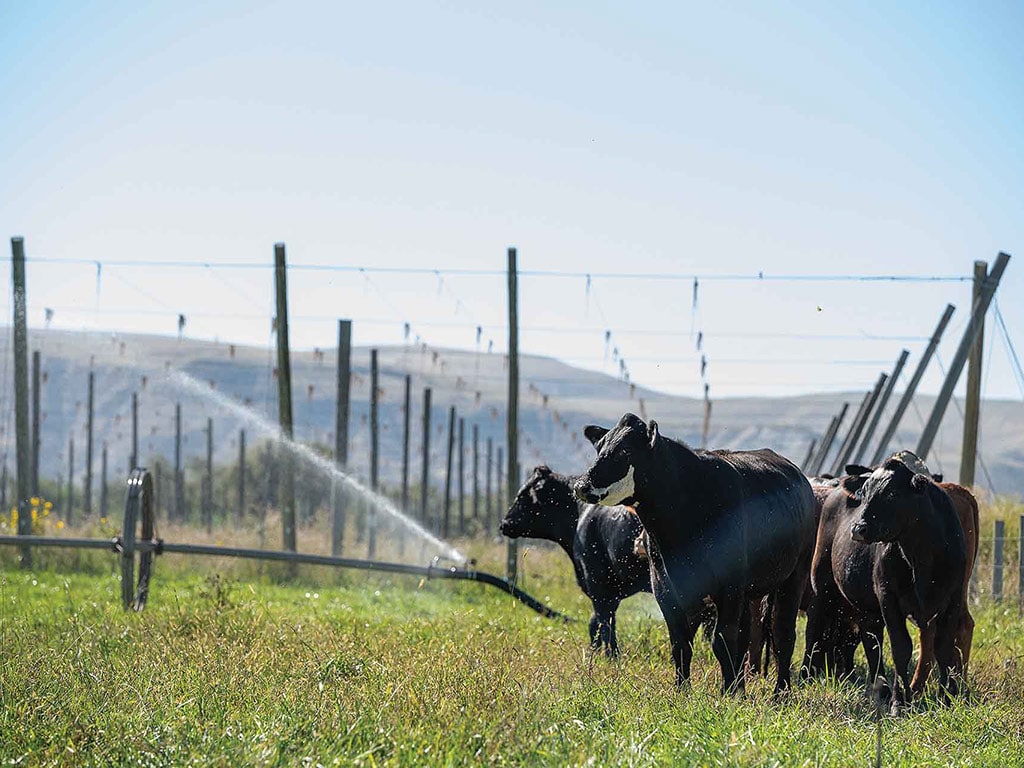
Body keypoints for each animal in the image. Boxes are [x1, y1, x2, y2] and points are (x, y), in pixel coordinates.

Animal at [497, 466, 647, 659]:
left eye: (523, 496)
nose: (504, 524)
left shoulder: (598, 583)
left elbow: (604, 623)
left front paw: (611, 657)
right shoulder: (612, 590)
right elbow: (596, 622)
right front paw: (595, 655)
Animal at [577, 417, 815, 696]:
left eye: (625, 451)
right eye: (599, 447)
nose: (581, 485)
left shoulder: (729, 587)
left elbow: (722, 640)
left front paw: (728, 694)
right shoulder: (666, 590)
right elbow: (681, 644)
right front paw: (683, 691)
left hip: (794, 575)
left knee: (782, 634)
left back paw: (780, 693)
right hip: (747, 592)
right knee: (745, 635)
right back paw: (742, 687)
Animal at [806, 456, 966, 716]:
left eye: (892, 493)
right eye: (865, 492)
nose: (858, 529)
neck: (920, 555)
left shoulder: (953, 598)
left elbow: (944, 647)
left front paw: (947, 699)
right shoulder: (888, 597)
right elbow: (901, 647)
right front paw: (899, 702)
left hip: (866, 606)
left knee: (871, 641)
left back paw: (879, 689)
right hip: (822, 584)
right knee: (815, 627)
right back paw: (806, 675)